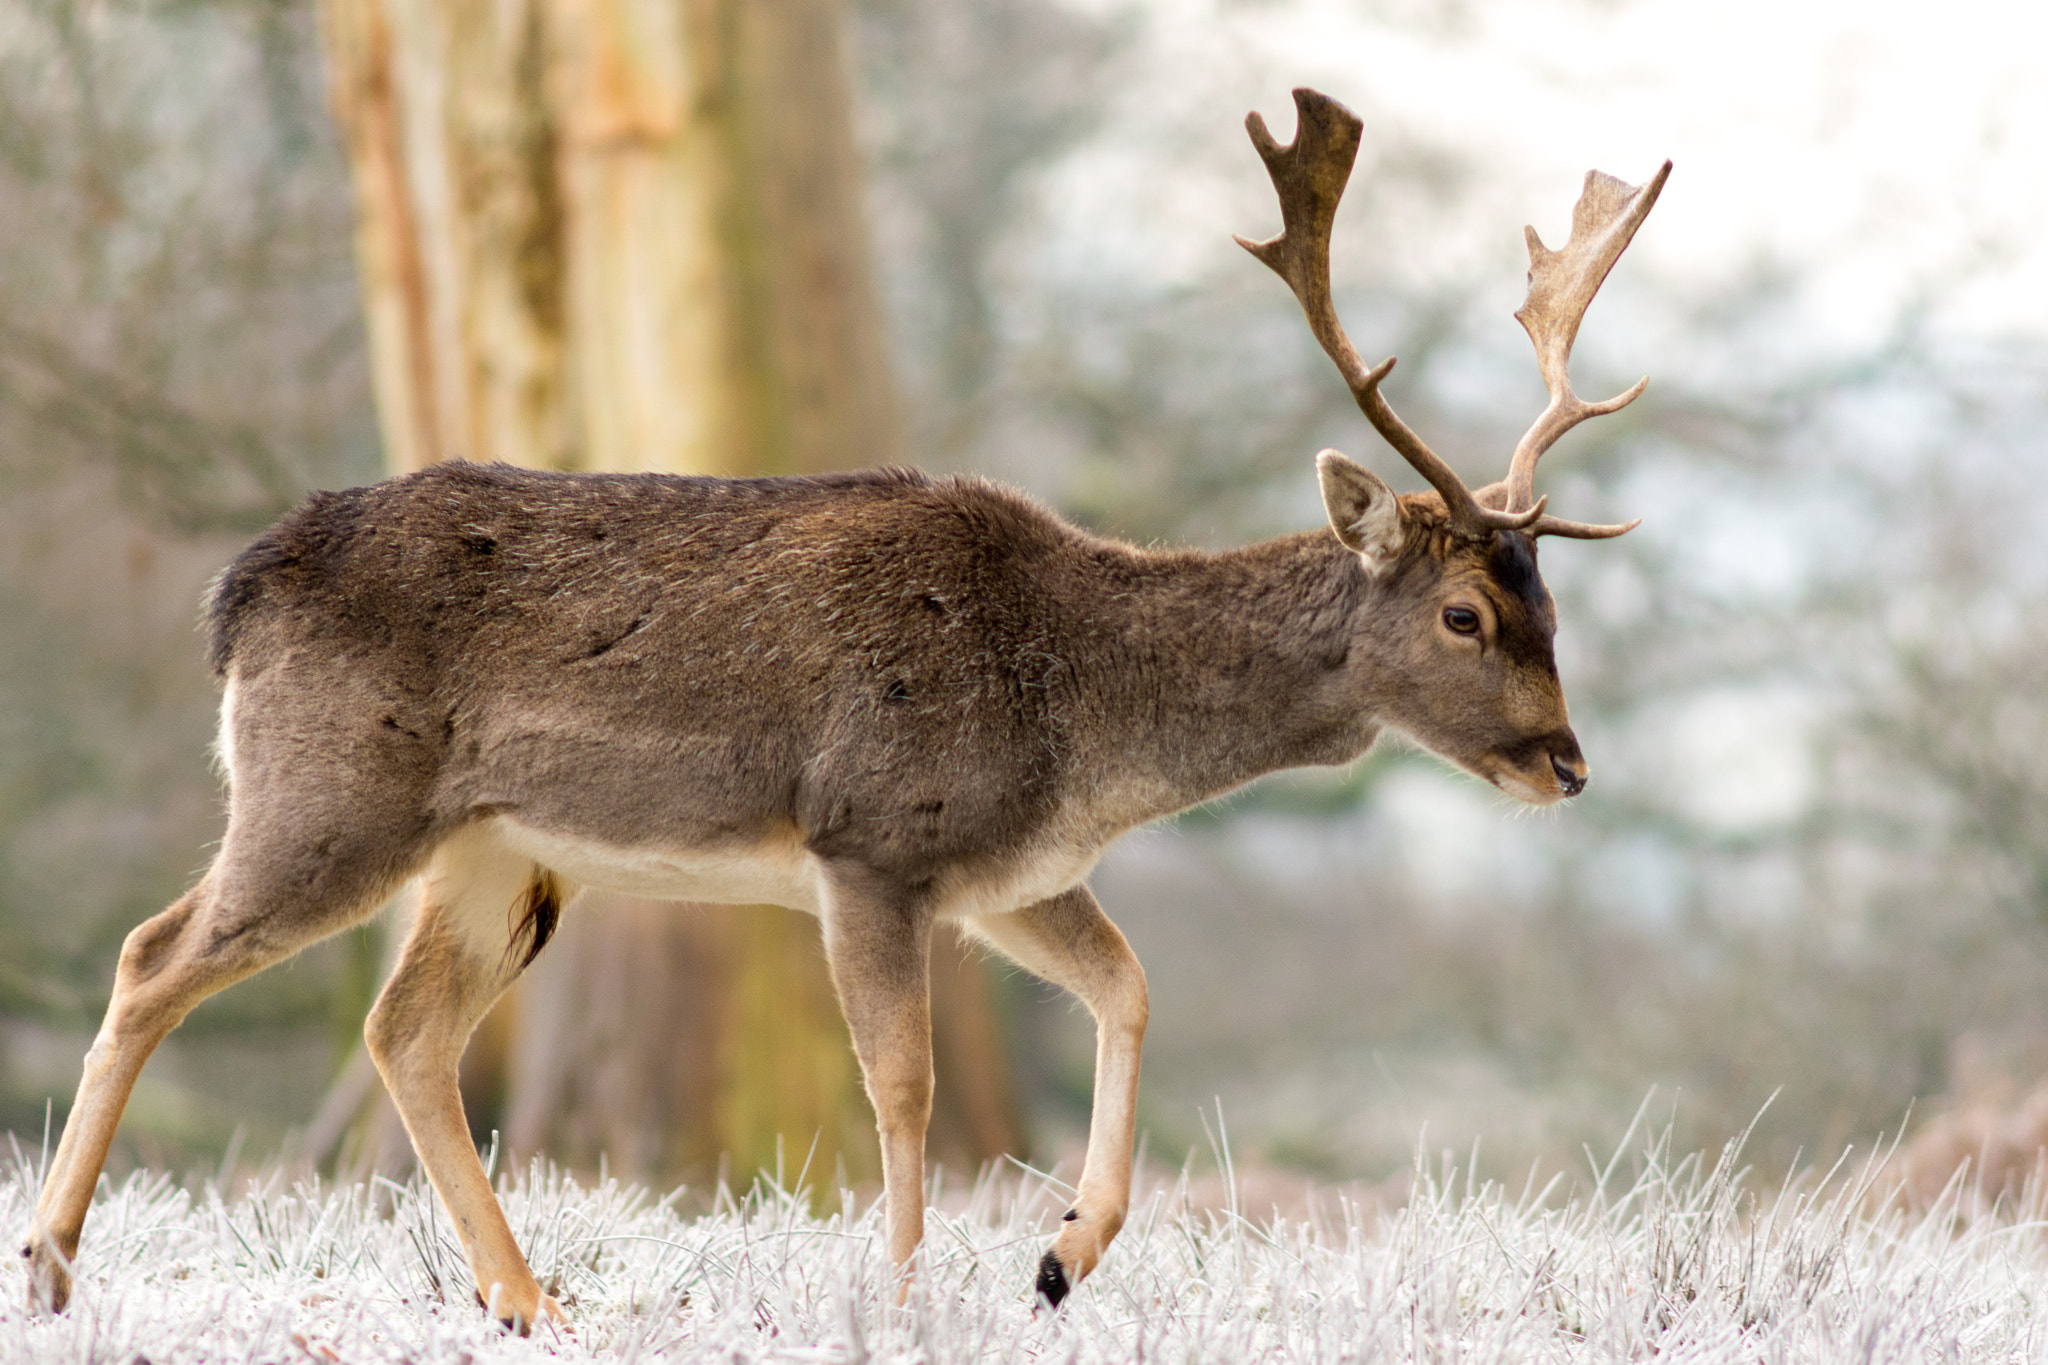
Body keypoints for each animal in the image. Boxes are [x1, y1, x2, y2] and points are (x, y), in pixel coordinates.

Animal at [19, 85, 1662, 1326]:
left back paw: (529, 1300)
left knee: (402, 1029)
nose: (1569, 765)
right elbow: (905, 1085)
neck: (1087, 730)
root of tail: (238, 591)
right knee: (154, 953)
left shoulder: (1008, 873)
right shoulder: (873, 835)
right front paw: (908, 1295)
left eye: (1553, 604)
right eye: (1463, 613)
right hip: (328, 790)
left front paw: (1061, 1256)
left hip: (495, 850)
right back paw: (50, 1264)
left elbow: (1129, 985)